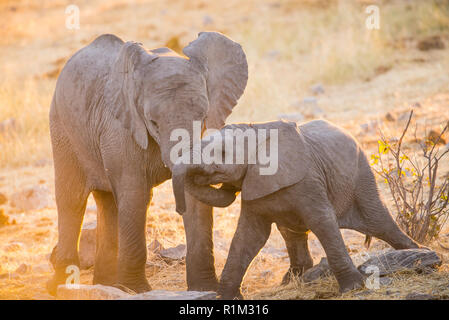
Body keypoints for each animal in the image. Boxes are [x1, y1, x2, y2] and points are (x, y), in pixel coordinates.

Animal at [172, 119, 420, 298]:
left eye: (222, 153)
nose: (179, 209)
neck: (256, 129)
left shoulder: (309, 182)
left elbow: (322, 221)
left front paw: (352, 289)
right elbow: (248, 237)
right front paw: (224, 297)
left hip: (362, 175)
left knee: (378, 221)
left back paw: (418, 252)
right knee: (291, 232)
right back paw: (293, 279)